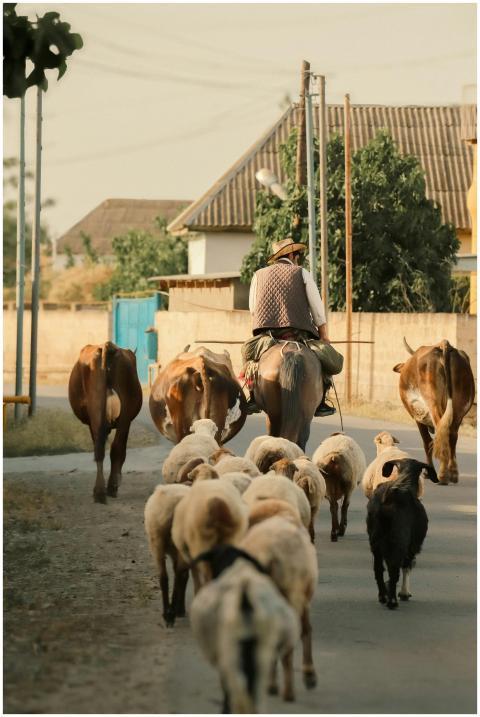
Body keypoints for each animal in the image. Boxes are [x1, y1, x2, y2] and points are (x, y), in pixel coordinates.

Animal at [69, 341, 143, 503]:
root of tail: (107, 346)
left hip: (99, 410)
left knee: (101, 448)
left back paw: (101, 491)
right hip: (123, 414)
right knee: (116, 448)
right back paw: (109, 487)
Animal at [144, 483, 191, 626]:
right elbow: (184, 576)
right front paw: (180, 609)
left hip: (156, 542)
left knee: (164, 577)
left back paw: (167, 613)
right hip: (178, 545)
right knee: (179, 576)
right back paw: (172, 613)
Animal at [241, 516, 318, 702]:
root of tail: (267, 555)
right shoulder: (304, 601)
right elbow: (307, 630)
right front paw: (309, 675)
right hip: (291, 597)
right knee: (287, 641)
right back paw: (287, 692)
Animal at [366, 457, 438, 610]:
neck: (405, 481)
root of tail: (390, 497)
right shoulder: (413, 545)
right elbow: (407, 566)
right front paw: (404, 593)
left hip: (375, 542)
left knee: (378, 569)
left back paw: (383, 596)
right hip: (399, 540)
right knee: (394, 569)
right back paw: (392, 601)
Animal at [393, 338, 475, 485]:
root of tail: (444, 345)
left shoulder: (418, 416)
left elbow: (427, 442)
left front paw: (428, 472)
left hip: (434, 405)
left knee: (441, 432)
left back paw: (443, 475)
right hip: (460, 409)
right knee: (452, 435)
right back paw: (453, 473)